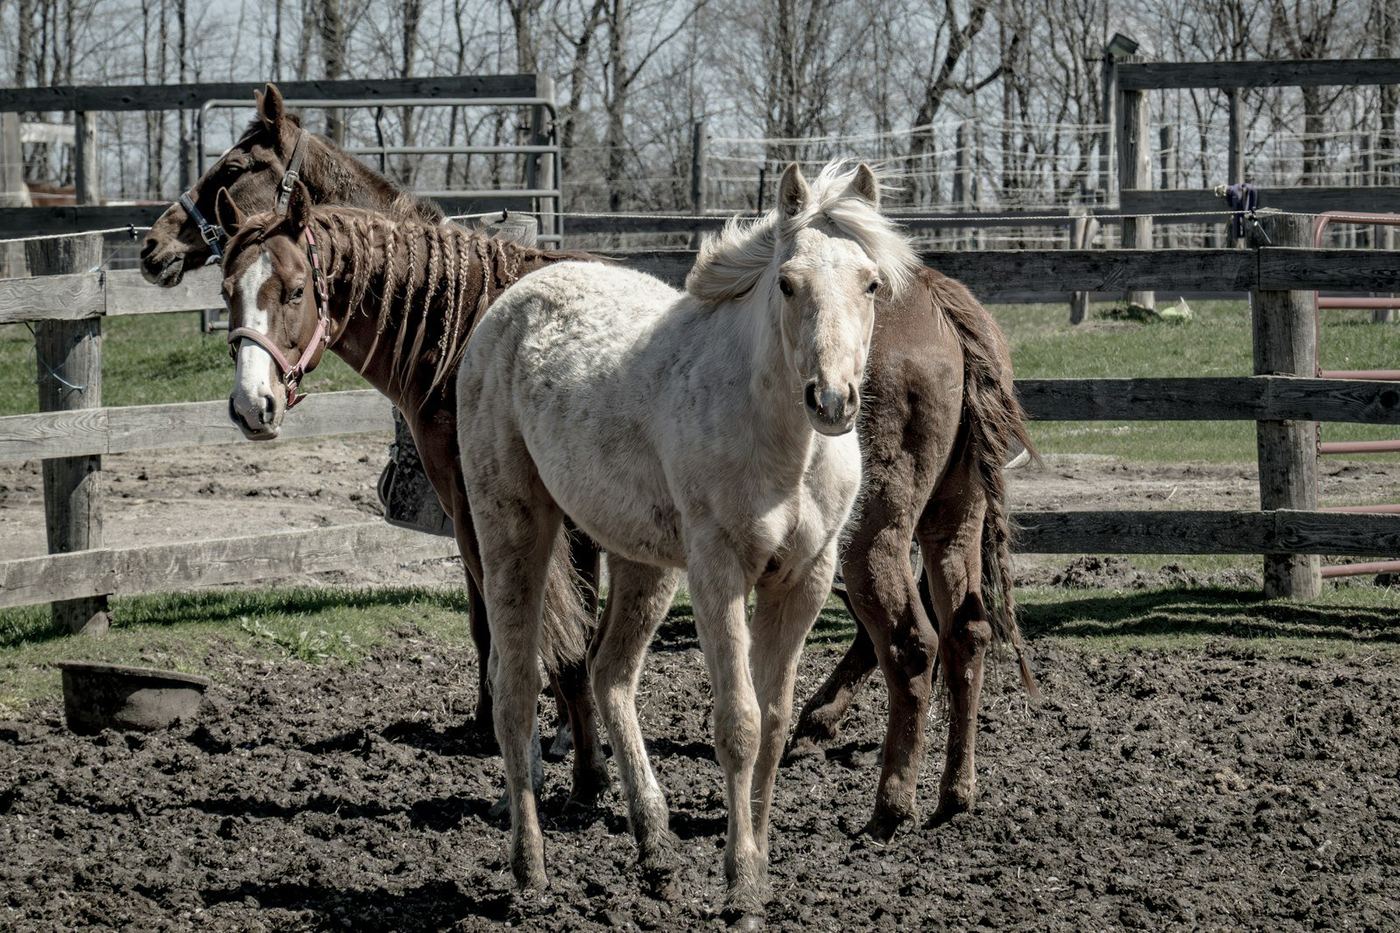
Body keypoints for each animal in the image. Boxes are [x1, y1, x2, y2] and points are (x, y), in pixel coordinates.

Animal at [138, 84, 602, 788]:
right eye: (226, 293)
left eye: (234, 168)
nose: (152, 244)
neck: (463, 319)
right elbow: (526, 621)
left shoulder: (480, 502)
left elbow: (514, 620)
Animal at [454, 162, 908, 921]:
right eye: (788, 283)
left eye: (871, 283)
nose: (832, 400)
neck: (784, 445)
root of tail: (506, 309)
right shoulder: (720, 572)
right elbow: (739, 725)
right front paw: (741, 880)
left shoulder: (804, 579)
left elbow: (775, 724)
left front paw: (757, 868)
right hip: (515, 528)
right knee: (515, 687)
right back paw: (531, 872)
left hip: (643, 563)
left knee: (610, 674)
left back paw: (655, 851)